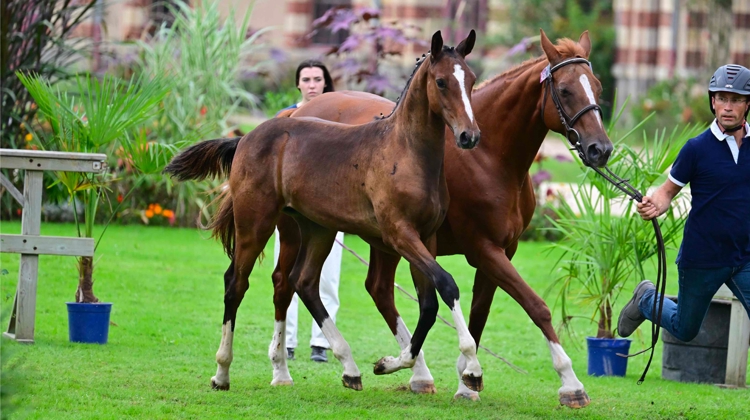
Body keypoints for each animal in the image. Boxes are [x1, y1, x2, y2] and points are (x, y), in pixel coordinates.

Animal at [164, 31, 484, 392]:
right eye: (441, 82)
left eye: (472, 80)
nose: (469, 136)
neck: (405, 152)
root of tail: (245, 137)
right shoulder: (399, 234)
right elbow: (447, 285)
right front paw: (471, 368)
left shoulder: (425, 237)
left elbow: (429, 304)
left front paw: (390, 363)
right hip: (256, 223)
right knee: (236, 282)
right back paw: (222, 372)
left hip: (318, 228)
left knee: (302, 282)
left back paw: (348, 367)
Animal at [276, 29, 612, 406]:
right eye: (565, 90)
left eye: (597, 87)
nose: (601, 149)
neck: (490, 158)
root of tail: (296, 114)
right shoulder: (482, 250)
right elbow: (534, 305)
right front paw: (570, 383)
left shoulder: (501, 252)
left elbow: (479, 314)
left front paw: (467, 380)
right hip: (298, 233)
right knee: (284, 285)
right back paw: (282, 372)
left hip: (381, 240)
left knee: (378, 289)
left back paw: (416, 373)